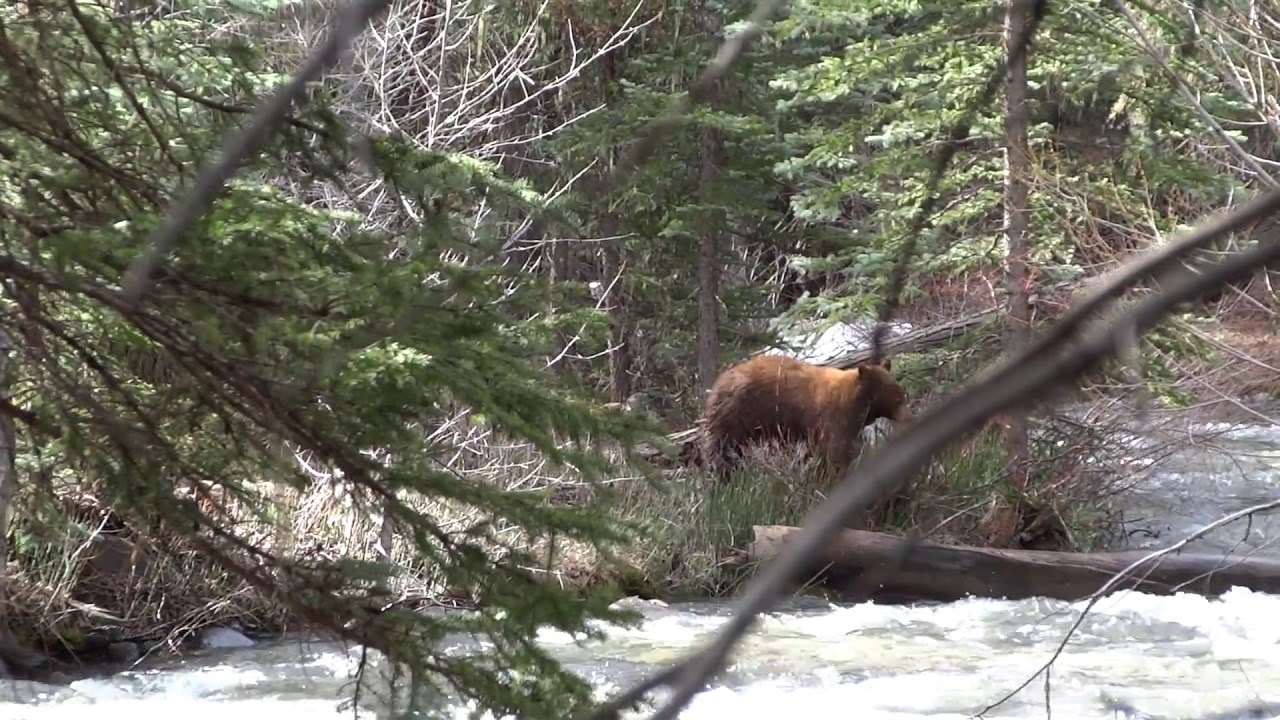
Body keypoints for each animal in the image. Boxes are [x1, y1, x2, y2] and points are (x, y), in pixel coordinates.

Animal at [697, 353, 912, 483]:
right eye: (898, 400)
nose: (909, 417)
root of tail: (716, 385)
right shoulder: (833, 417)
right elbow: (835, 449)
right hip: (736, 415)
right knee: (721, 449)